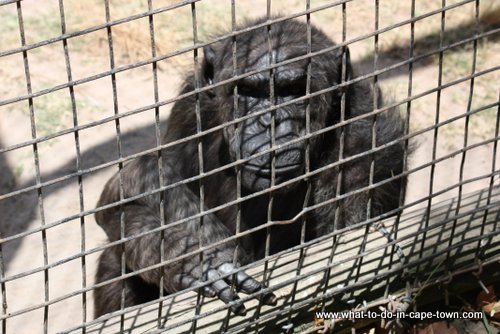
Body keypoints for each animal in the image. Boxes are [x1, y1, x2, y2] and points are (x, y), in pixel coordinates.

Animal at [93, 16, 406, 318]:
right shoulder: (190, 107)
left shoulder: (363, 147)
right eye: (250, 91)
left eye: (292, 90)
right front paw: (197, 260)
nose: (270, 122)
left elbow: (347, 253)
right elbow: (124, 194)